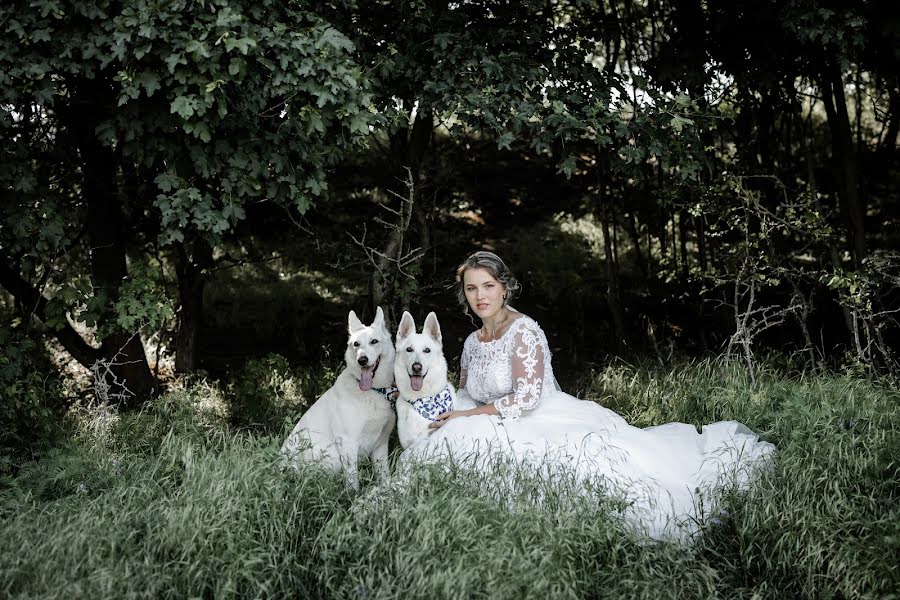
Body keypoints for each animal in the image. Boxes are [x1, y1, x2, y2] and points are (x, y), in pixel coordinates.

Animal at [280, 308, 396, 486]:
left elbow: (384, 476)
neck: (373, 390)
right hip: (331, 457)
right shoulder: (348, 442)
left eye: (374, 341)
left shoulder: (381, 445)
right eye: (356, 344)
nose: (362, 360)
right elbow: (353, 481)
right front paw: (354, 493)